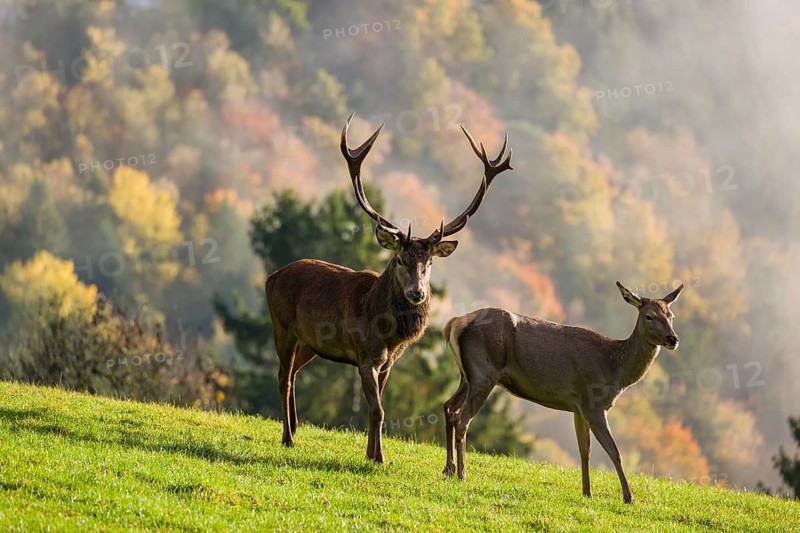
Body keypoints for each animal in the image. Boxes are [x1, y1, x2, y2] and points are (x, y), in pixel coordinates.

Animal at [265, 114, 513, 462]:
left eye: (429, 262)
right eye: (399, 259)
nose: (416, 293)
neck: (385, 331)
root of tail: (271, 277)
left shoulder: (388, 362)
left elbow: (376, 408)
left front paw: (371, 453)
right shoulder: (365, 355)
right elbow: (379, 409)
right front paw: (379, 457)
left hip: (310, 342)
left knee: (294, 373)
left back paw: (297, 426)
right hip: (282, 326)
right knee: (282, 377)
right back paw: (288, 437)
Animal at [441, 281, 684, 503]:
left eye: (671, 316)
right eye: (649, 316)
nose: (673, 339)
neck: (615, 370)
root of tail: (453, 323)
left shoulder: (578, 407)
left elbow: (584, 450)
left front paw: (587, 493)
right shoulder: (594, 404)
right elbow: (614, 451)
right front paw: (629, 497)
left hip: (466, 376)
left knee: (449, 407)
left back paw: (449, 469)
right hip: (484, 372)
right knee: (463, 419)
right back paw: (462, 474)